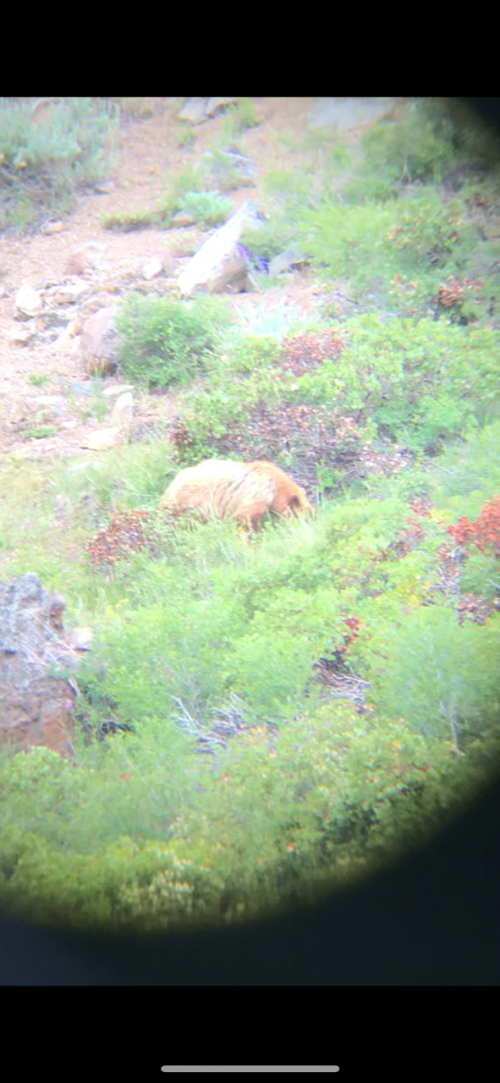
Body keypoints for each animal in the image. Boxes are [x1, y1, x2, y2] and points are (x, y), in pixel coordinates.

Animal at [159, 458, 313, 531]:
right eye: (305, 516)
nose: (312, 523)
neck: (275, 485)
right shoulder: (258, 493)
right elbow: (246, 517)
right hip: (189, 505)